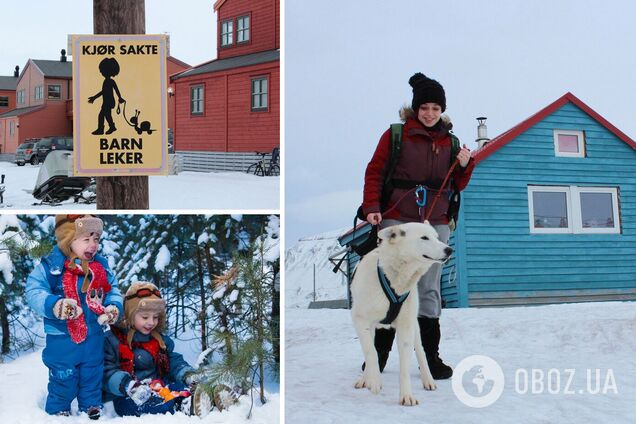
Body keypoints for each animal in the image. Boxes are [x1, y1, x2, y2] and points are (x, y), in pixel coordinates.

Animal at [352, 220, 452, 406]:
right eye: (424, 237)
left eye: (436, 237)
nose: (449, 250)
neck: (394, 277)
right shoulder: (360, 320)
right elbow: (371, 352)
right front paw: (374, 380)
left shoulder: (406, 326)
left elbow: (405, 365)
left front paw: (406, 395)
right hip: (369, 326)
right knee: (370, 349)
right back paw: (365, 378)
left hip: (414, 326)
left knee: (421, 351)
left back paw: (428, 379)